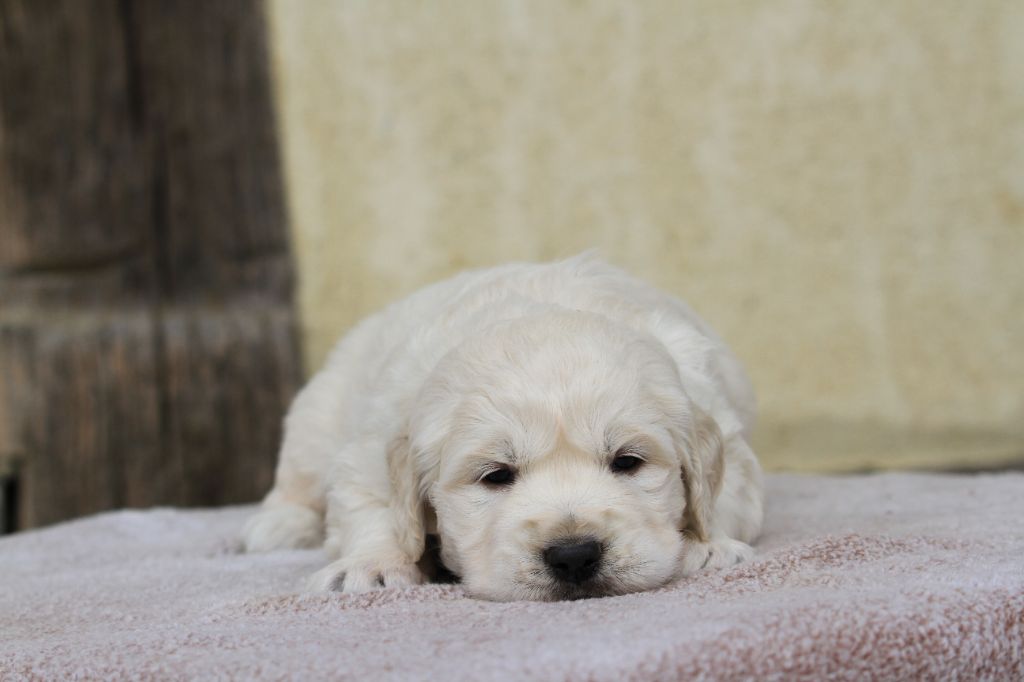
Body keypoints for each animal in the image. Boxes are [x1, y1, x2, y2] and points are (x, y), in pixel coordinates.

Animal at [245, 254, 761, 602]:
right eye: (496, 475)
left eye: (628, 462)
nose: (574, 555)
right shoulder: (370, 450)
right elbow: (374, 510)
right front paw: (368, 567)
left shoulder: (726, 430)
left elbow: (727, 496)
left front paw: (710, 546)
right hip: (315, 417)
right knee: (297, 482)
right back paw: (276, 525)